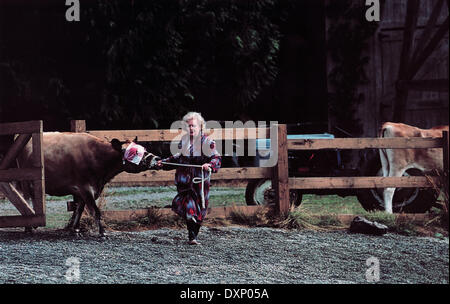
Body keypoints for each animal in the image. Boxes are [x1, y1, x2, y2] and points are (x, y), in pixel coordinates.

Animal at [16, 132, 161, 236]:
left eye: (143, 149)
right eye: (135, 152)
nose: (156, 158)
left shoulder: (83, 190)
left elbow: (79, 209)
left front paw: (75, 229)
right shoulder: (85, 187)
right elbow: (96, 211)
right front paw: (102, 232)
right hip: (25, 180)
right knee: (26, 199)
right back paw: (28, 227)